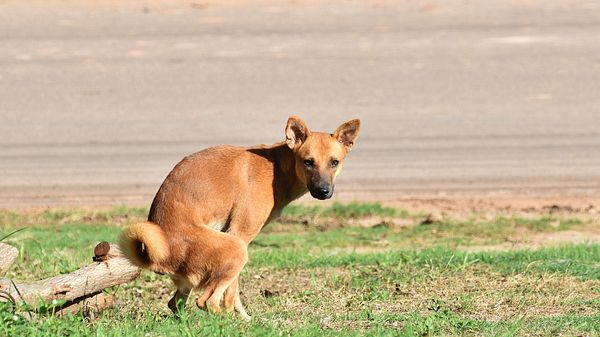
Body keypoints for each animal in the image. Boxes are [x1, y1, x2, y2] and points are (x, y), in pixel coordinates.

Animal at [119, 115, 358, 318]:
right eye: (308, 162)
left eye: (334, 162)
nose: (323, 191)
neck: (277, 168)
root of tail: (159, 256)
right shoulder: (239, 234)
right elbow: (231, 294)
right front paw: (238, 317)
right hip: (236, 249)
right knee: (206, 301)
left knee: (176, 303)